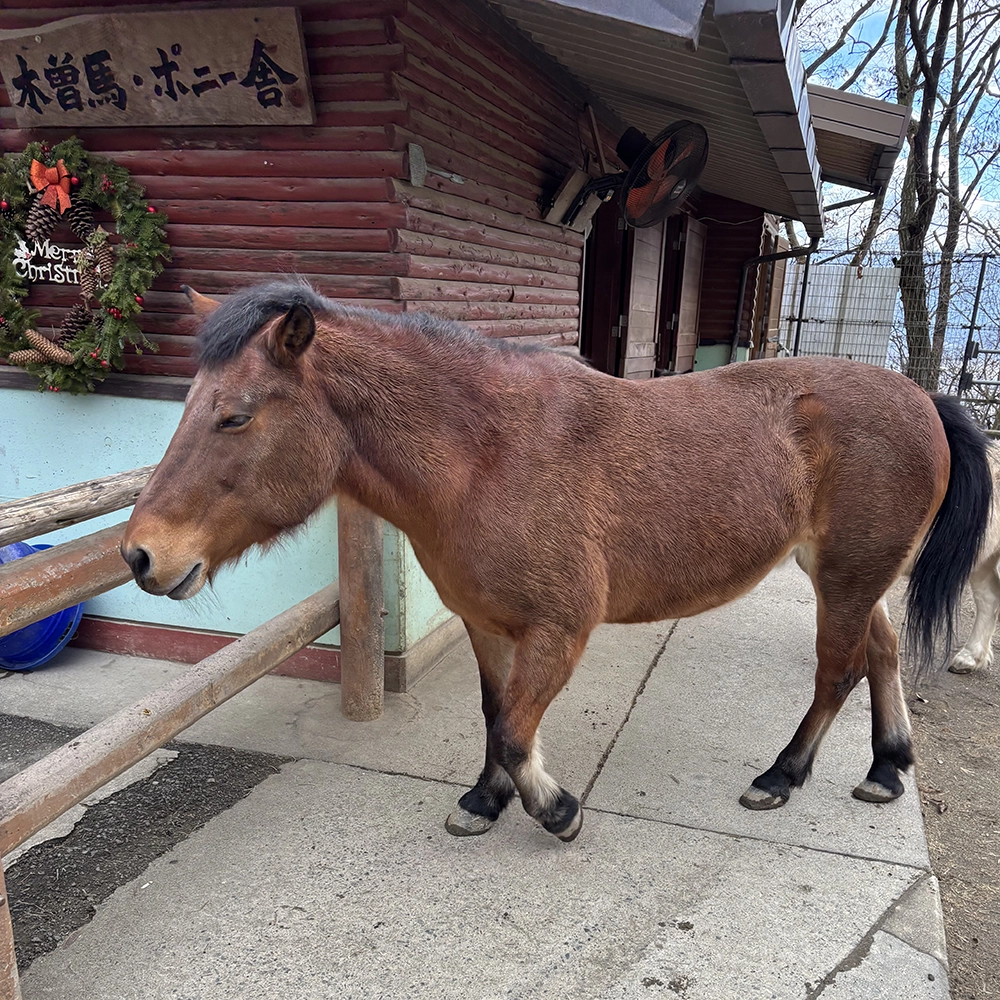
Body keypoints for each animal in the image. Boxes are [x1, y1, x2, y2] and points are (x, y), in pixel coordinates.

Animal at [121, 280, 992, 843]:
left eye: (235, 416)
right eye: (189, 403)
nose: (141, 554)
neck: (486, 454)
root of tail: (922, 398)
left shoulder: (560, 628)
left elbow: (515, 727)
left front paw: (553, 807)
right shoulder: (487, 624)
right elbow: (494, 714)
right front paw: (485, 800)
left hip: (845, 578)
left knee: (837, 672)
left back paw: (781, 776)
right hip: (846, 574)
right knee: (881, 653)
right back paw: (887, 767)